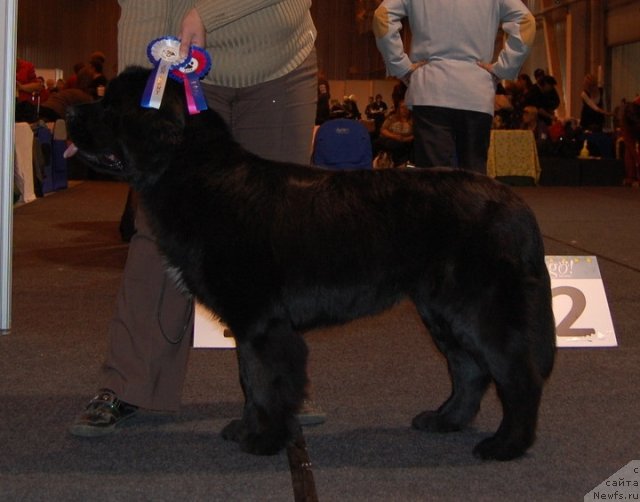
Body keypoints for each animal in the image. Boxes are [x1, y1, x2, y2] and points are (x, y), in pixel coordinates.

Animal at [66, 67, 556, 462]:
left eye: (110, 105)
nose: (69, 110)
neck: (198, 176)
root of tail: (513, 201)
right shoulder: (250, 323)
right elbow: (249, 380)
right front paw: (247, 429)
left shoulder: (262, 321)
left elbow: (264, 383)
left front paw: (263, 440)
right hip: (440, 309)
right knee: (469, 368)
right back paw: (444, 420)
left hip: (481, 306)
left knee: (516, 374)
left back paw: (506, 445)